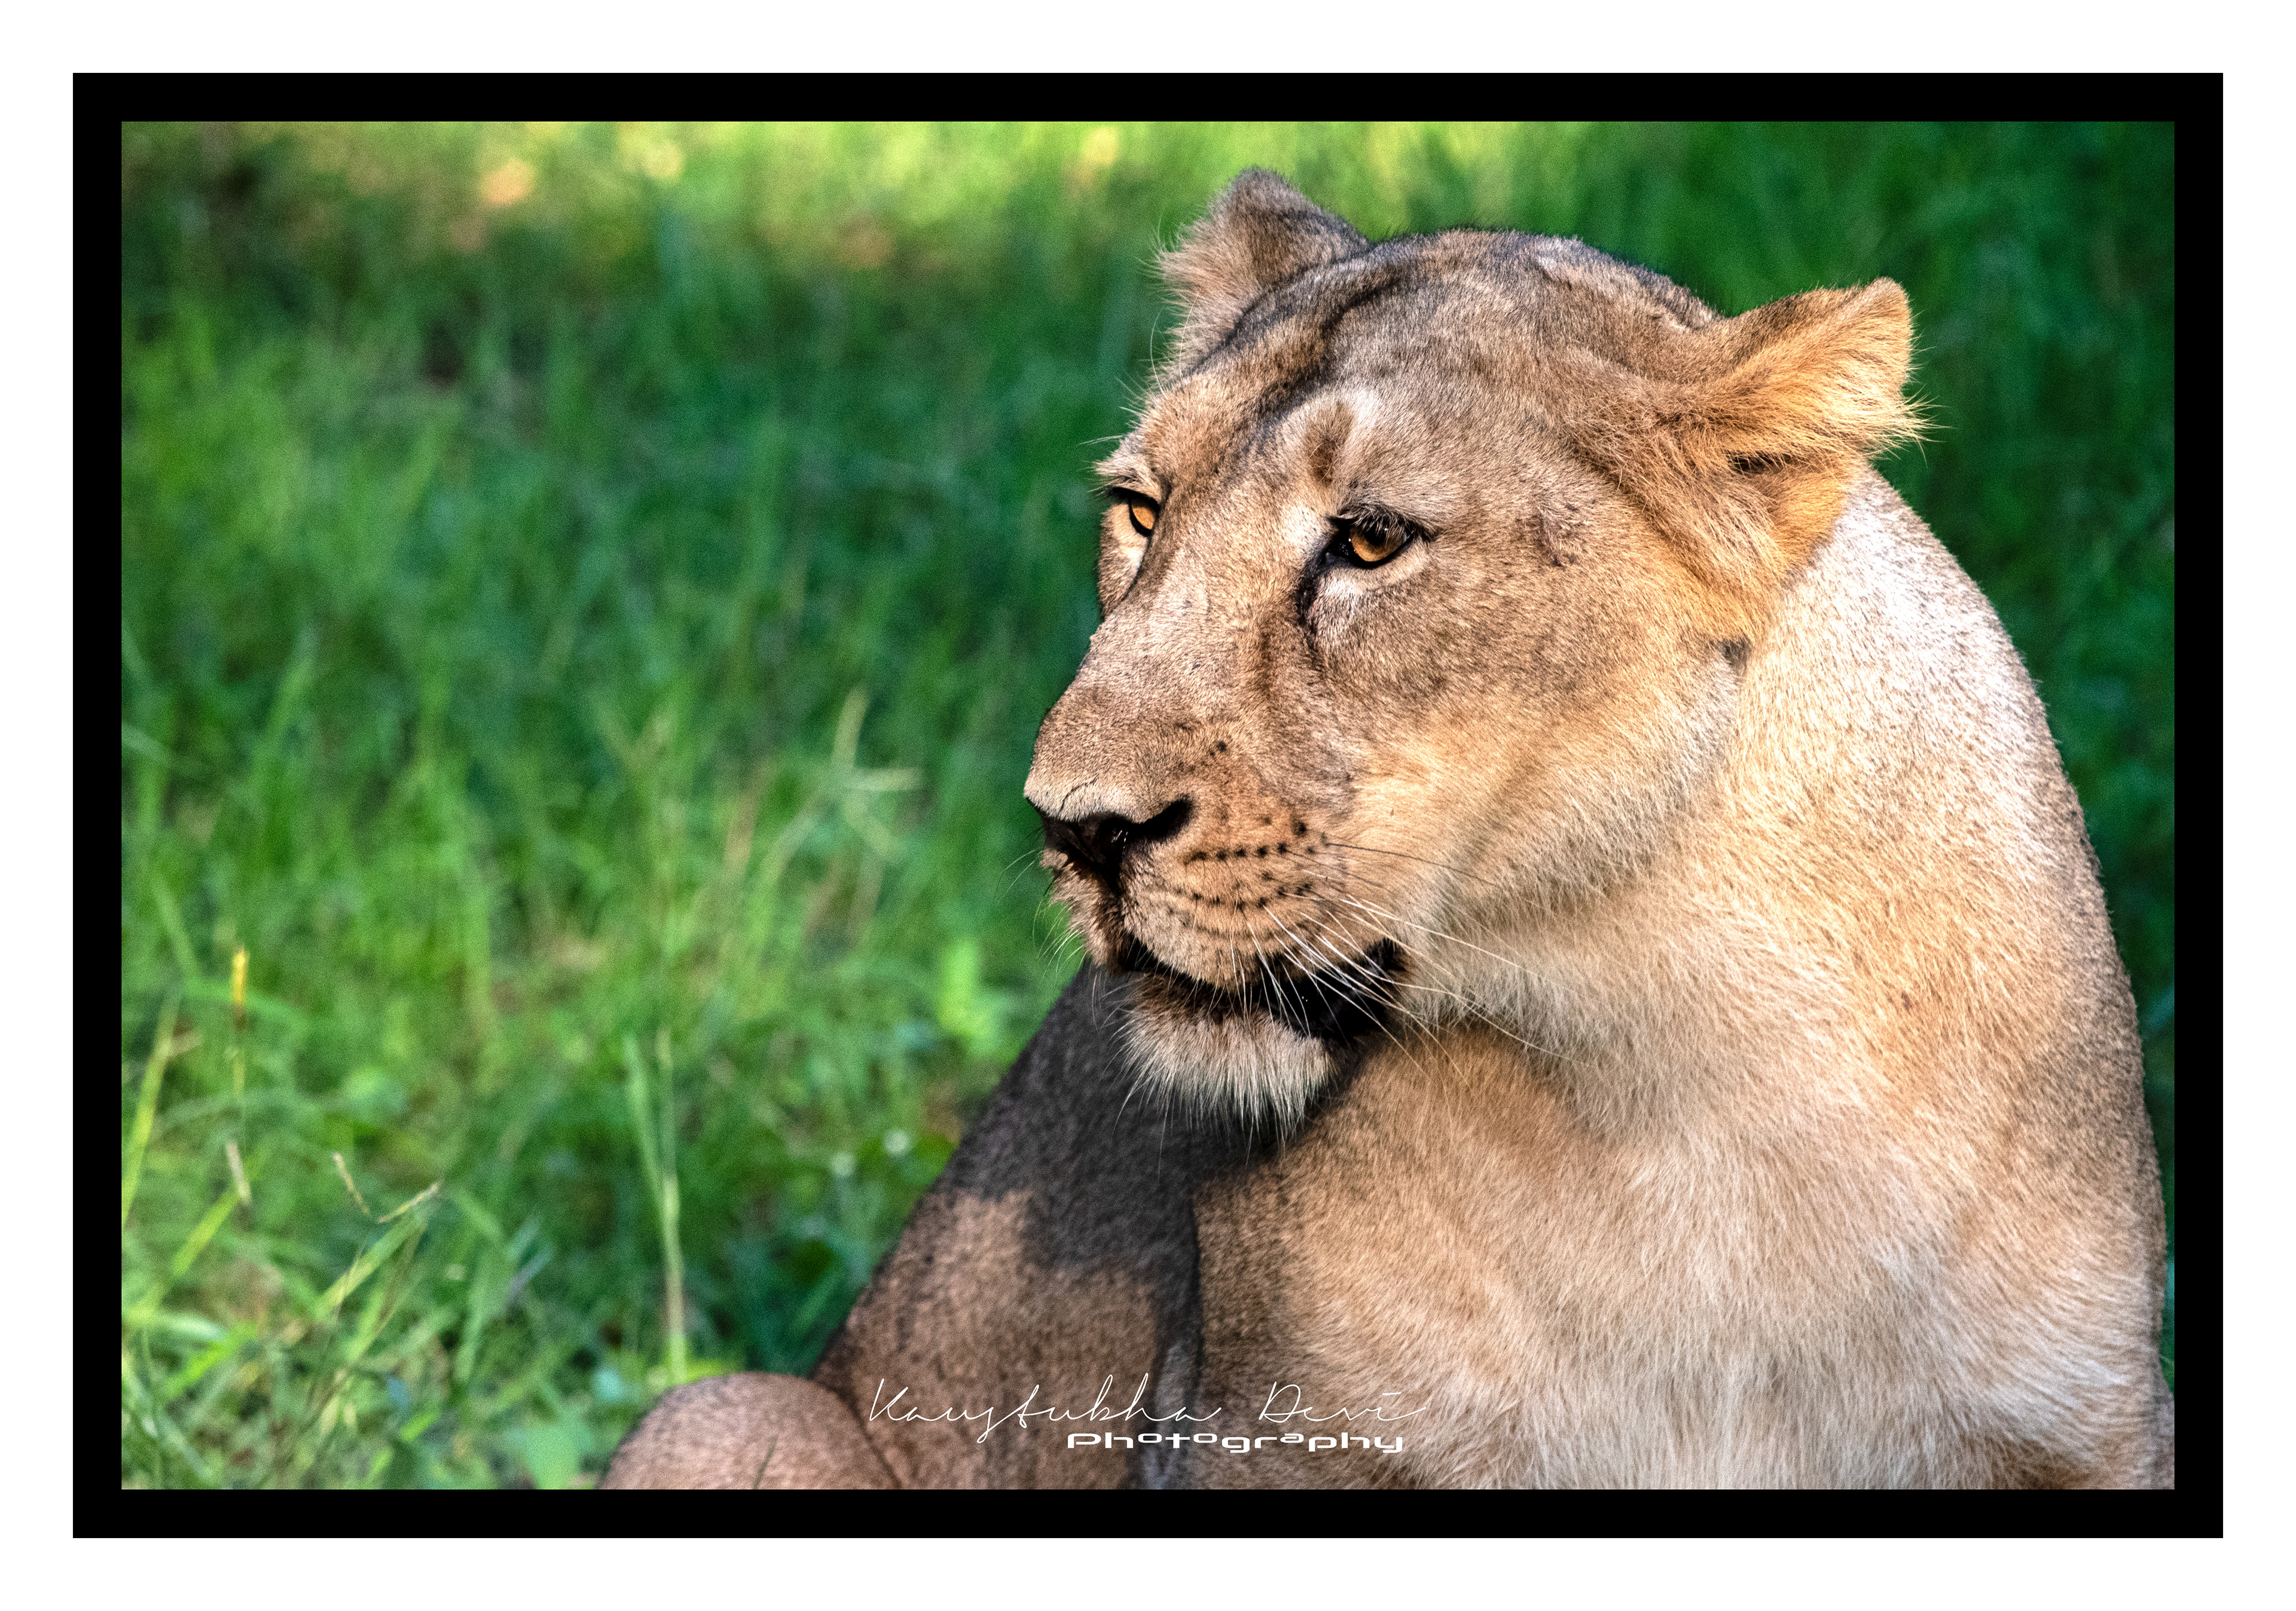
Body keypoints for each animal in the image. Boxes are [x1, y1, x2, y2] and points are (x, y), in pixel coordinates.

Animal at [604, 171, 2173, 1489]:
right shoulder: (1268, 1442)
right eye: (1140, 511)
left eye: (1369, 542)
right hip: (726, 1412)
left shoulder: (2086, 1429)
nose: (1074, 828)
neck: (1682, 1070)